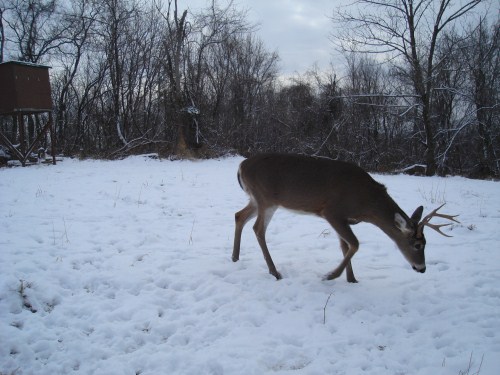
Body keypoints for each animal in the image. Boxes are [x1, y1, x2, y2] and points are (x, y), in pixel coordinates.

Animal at [232, 153, 458, 282]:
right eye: (418, 245)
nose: (422, 268)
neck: (367, 204)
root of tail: (241, 166)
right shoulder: (332, 211)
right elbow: (355, 244)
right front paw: (330, 275)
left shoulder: (341, 219)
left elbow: (345, 245)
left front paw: (352, 279)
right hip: (266, 199)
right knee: (258, 228)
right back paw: (274, 271)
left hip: (257, 199)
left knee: (239, 216)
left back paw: (235, 257)